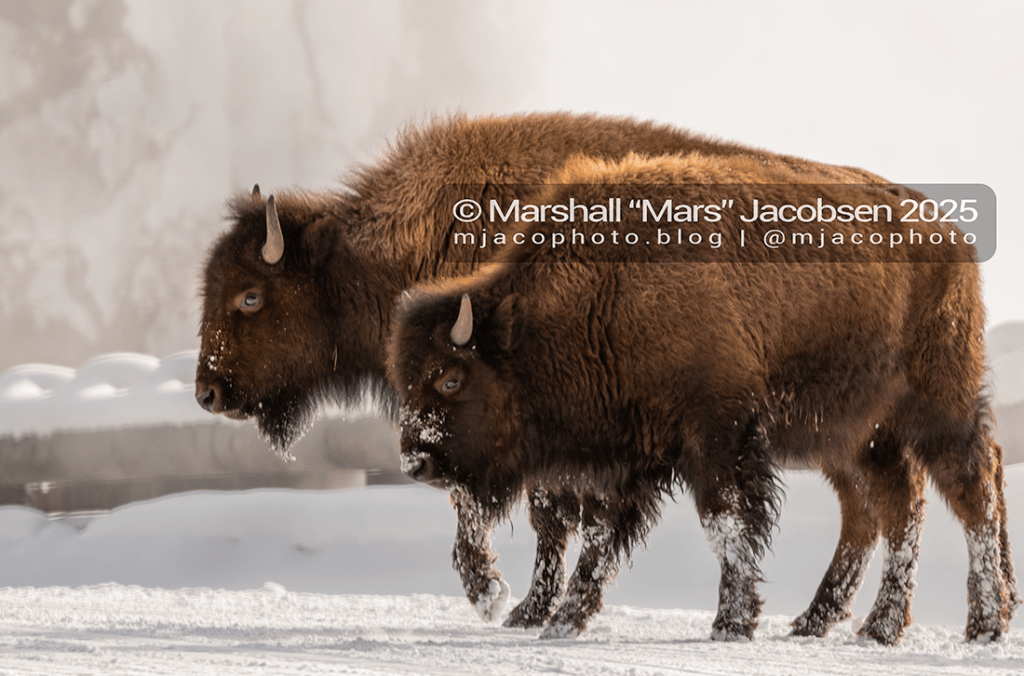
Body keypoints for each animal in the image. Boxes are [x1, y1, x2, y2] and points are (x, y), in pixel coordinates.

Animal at [388, 151, 1018, 643]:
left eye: (450, 378)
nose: (416, 462)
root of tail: (952, 238)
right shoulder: (625, 459)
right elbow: (600, 536)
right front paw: (566, 620)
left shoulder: (717, 434)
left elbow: (724, 522)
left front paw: (731, 622)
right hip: (859, 436)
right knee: (891, 507)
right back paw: (853, 624)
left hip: (936, 407)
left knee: (971, 491)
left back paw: (981, 623)